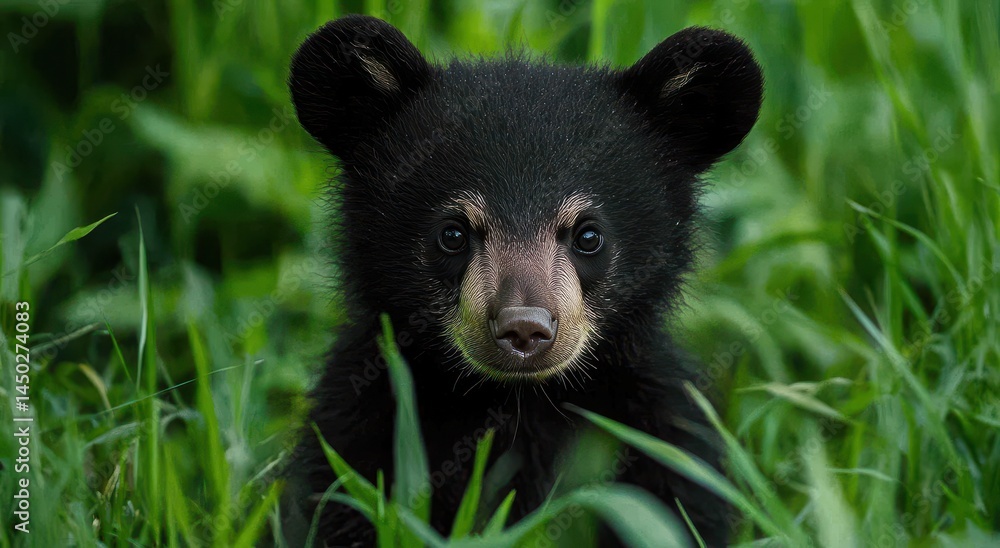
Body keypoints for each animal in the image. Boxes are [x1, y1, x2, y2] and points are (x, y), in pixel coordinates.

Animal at [283, 14, 763, 547]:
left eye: (588, 235)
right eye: (452, 233)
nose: (524, 328)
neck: (518, 404)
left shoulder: (664, 435)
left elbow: (681, 505)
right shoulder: (355, 430)